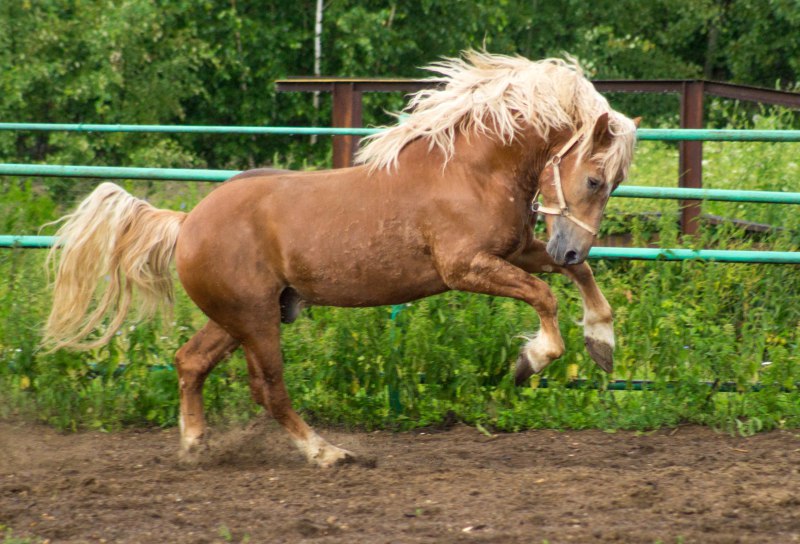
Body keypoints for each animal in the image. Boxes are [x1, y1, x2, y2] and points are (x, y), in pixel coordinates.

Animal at [47, 52, 640, 468]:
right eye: (593, 179)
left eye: (613, 184)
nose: (571, 242)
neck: (470, 169)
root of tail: (187, 221)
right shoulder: (465, 267)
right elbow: (544, 296)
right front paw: (530, 361)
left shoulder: (516, 251)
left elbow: (578, 275)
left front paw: (602, 344)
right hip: (254, 319)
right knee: (269, 388)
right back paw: (326, 453)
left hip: (243, 315)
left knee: (190, 361)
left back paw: (195, 446)